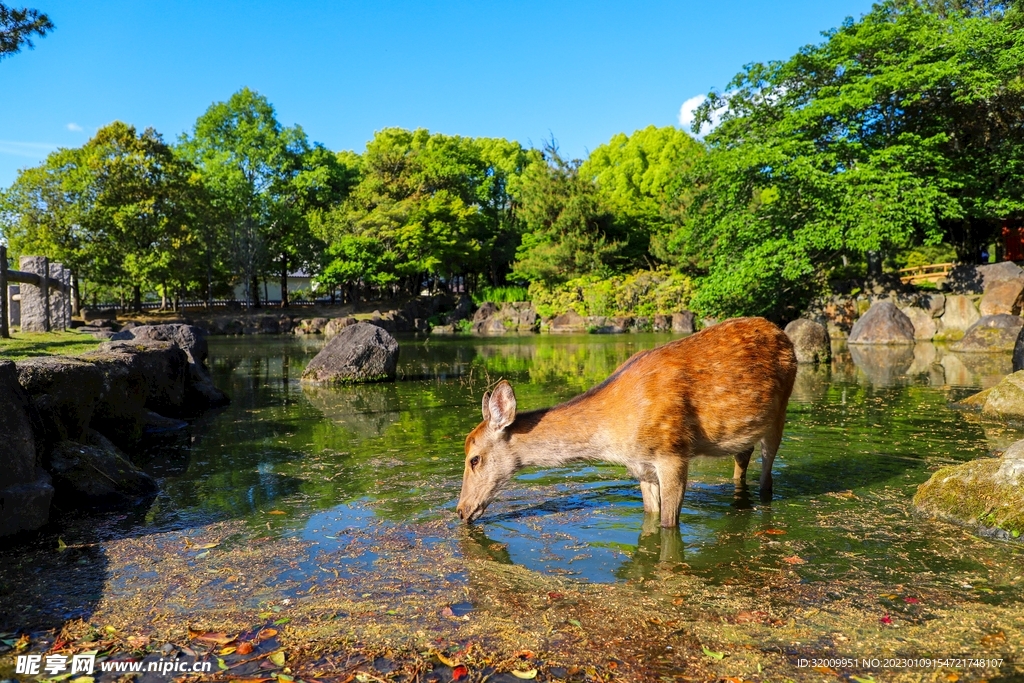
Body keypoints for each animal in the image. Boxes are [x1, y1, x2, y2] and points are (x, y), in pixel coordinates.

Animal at [456, 317, 798, 527]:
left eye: (474, 459)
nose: (460, 510)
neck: (613, 436)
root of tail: (783, 334)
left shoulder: (673, 453)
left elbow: (669, 526)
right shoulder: (641, 467)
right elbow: (651, 518)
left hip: (780, 411)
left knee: (767, 473)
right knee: (743, 459)